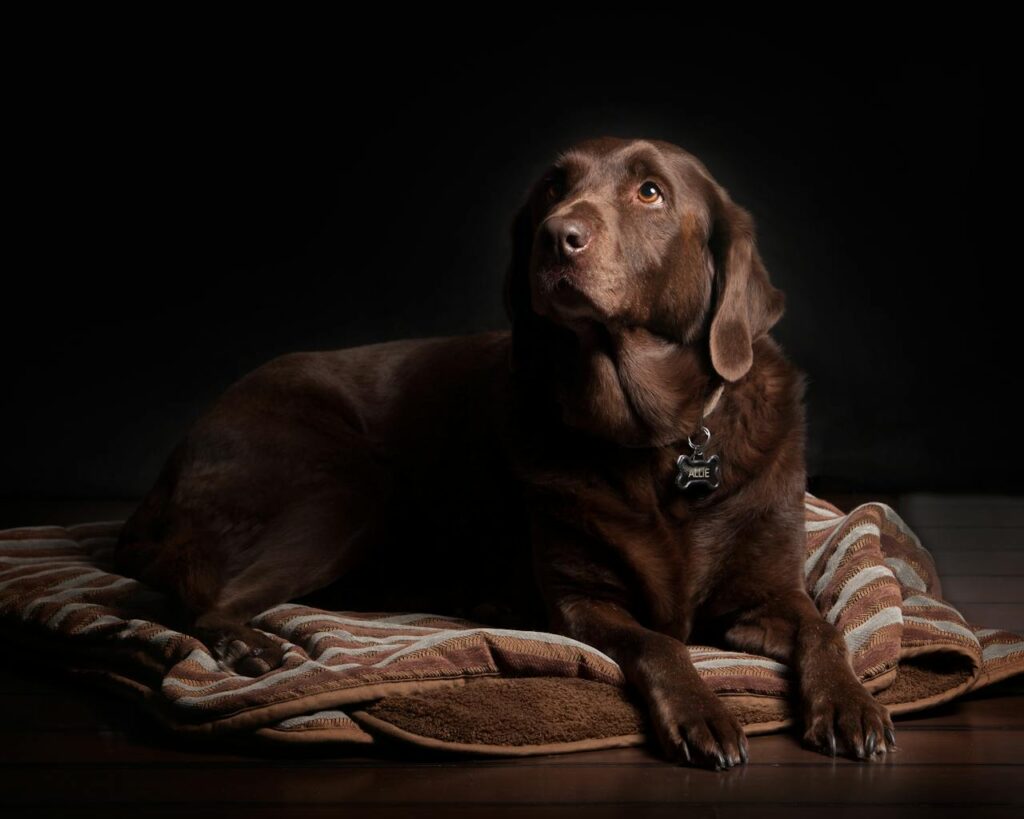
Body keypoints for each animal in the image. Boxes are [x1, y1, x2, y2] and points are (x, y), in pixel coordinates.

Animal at [114, 134, 897, 769]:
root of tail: (158, 484)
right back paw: (255, 644)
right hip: (345, 490)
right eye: (553, 187)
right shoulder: (583, 602)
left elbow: (827, 630)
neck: (653, 437)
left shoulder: (766, 593)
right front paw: (704, 711)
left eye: (650, 191)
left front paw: (851, 704)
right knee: (201, 599)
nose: (557, 236)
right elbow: (661, 643)